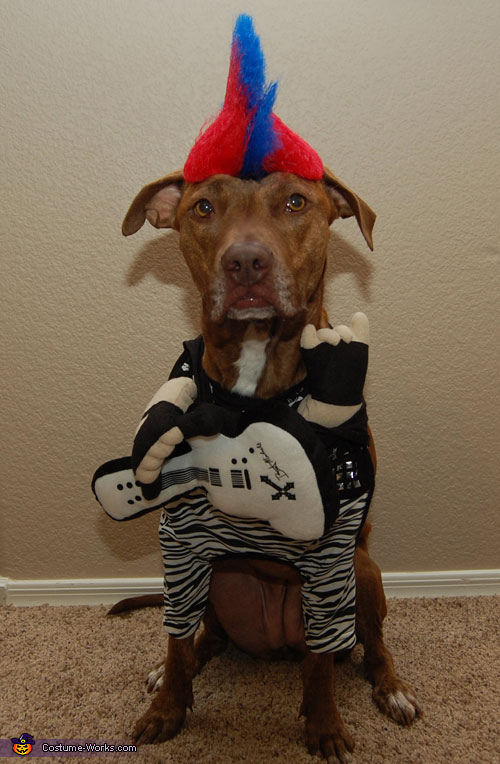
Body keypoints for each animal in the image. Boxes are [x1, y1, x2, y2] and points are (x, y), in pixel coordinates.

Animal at [114, 164, 422, 760]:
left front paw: (324, 727)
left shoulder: (330, 553)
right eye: (203, 207)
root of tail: (276, 646)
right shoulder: (179, 542)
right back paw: (177, 669)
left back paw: (391, 688)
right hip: (215, 578)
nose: (245, 262)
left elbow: (322, 666)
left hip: (364, 571)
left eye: (296, 202)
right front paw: (166, 707)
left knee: (364, 647)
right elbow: (174, 639)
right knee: (202, 637)